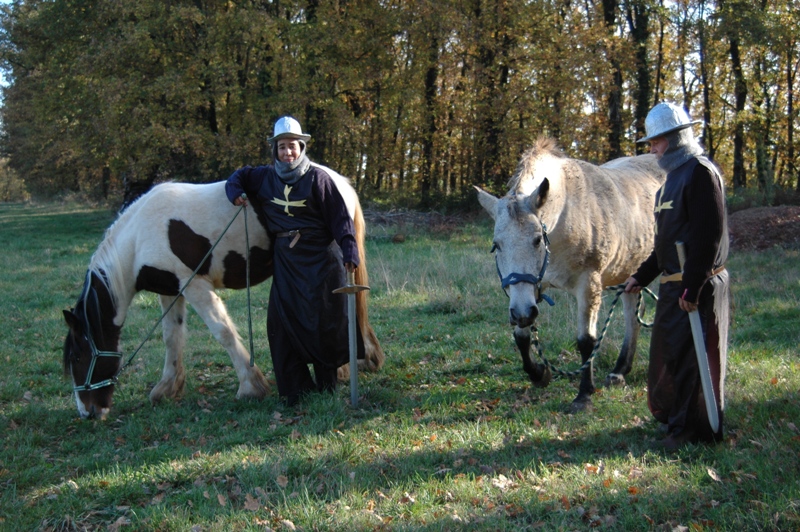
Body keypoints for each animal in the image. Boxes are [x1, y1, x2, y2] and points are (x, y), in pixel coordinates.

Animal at [61, 177, 382, 418]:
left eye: (77, 356)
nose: (87, 412)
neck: (139, 239)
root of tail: (339, 182)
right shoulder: (171, 290)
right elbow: (172, 337)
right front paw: (167, 388)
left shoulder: (194, 285)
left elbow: (222, 332)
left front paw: (251, 387)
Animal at [478, 137, 664, 412]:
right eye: (496, 245)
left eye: (537, 240)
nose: (521, 312)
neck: (566, 211)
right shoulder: (530, 289)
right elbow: (522, 336)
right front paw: (539, 374)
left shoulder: (588, 285)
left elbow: (586, 340)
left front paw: (584, 395)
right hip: (630, 269)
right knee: (634, 313)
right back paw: (619, 371)